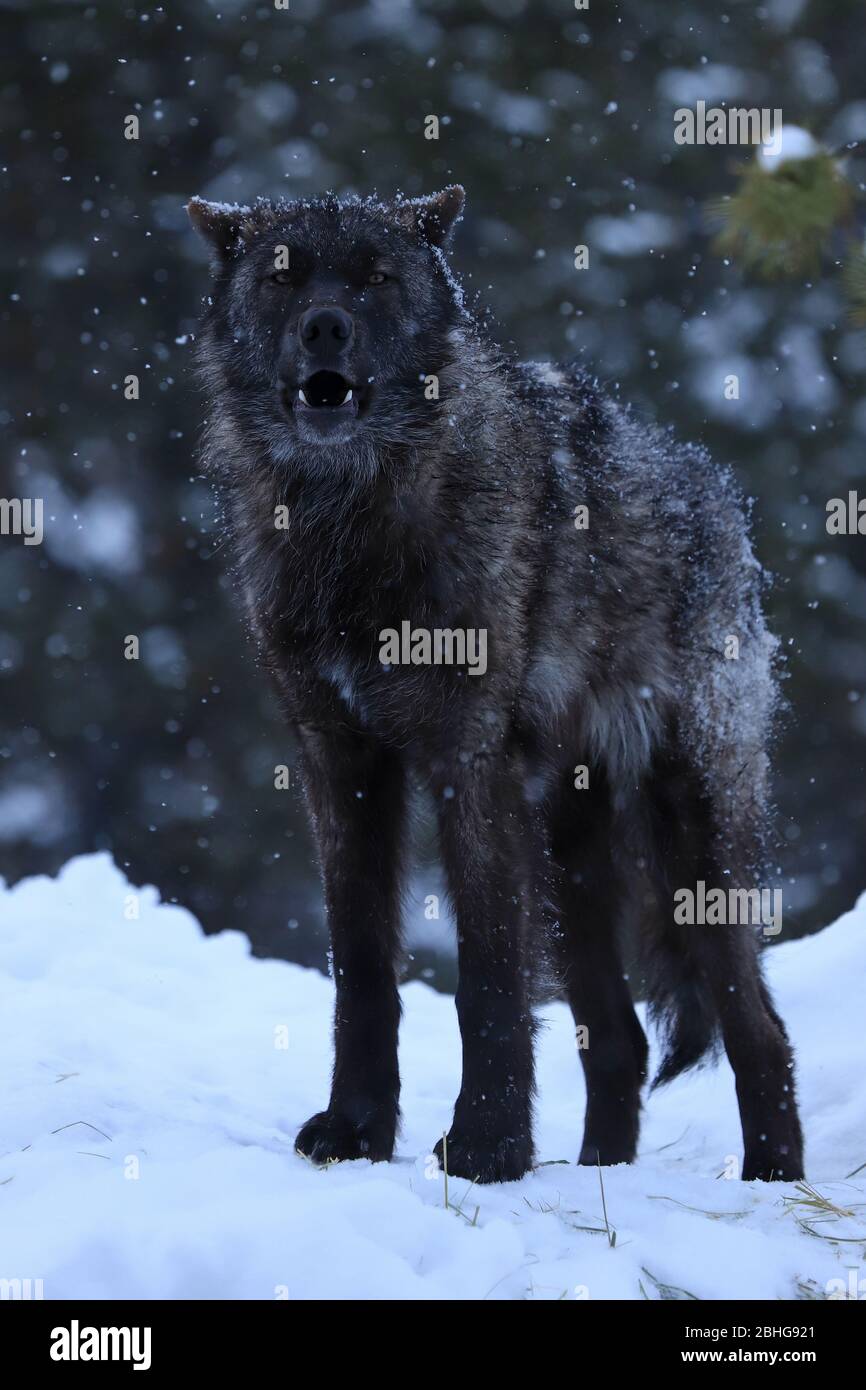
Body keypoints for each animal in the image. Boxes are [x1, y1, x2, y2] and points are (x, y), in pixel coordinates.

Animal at [187, 185, 804, 1184]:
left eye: (376, 278)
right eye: (283, 278)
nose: (325, 326)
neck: (351, 523)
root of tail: (716, 496)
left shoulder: (467, 765)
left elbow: (486, 979)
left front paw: (487, 1145)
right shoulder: (339, 767)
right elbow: (363, 971)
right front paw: (356, 1132)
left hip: (693, 840)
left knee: (759, 1029)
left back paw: (771, 1186)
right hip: (570, 862)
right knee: (621, 1039)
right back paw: (599, 1176)